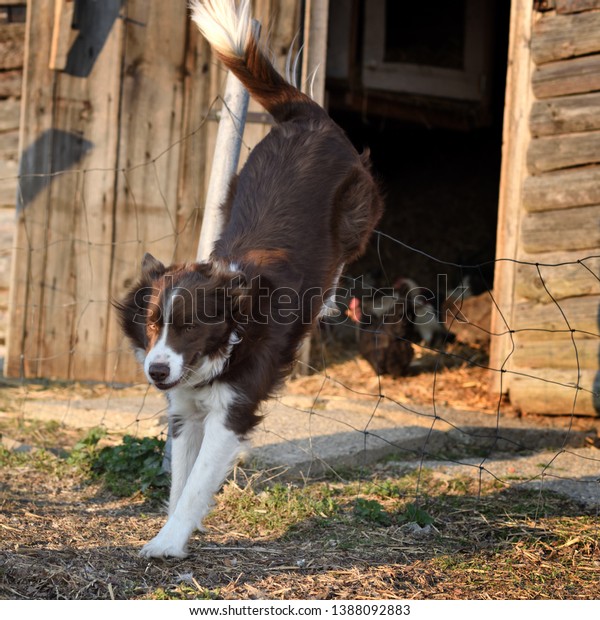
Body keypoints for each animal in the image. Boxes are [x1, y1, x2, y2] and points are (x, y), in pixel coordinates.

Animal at [116, 0, 384, 560]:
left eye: (191, 327)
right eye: (151, 325)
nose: (155, 370)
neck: (230, 334)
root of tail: (306, 117)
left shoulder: (232, 411)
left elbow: (197, 480)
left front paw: (167, 542)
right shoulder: (186, 410)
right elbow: (180, 480)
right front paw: (177, 530)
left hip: (357, 208)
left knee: (349, 246)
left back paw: (329, 294)